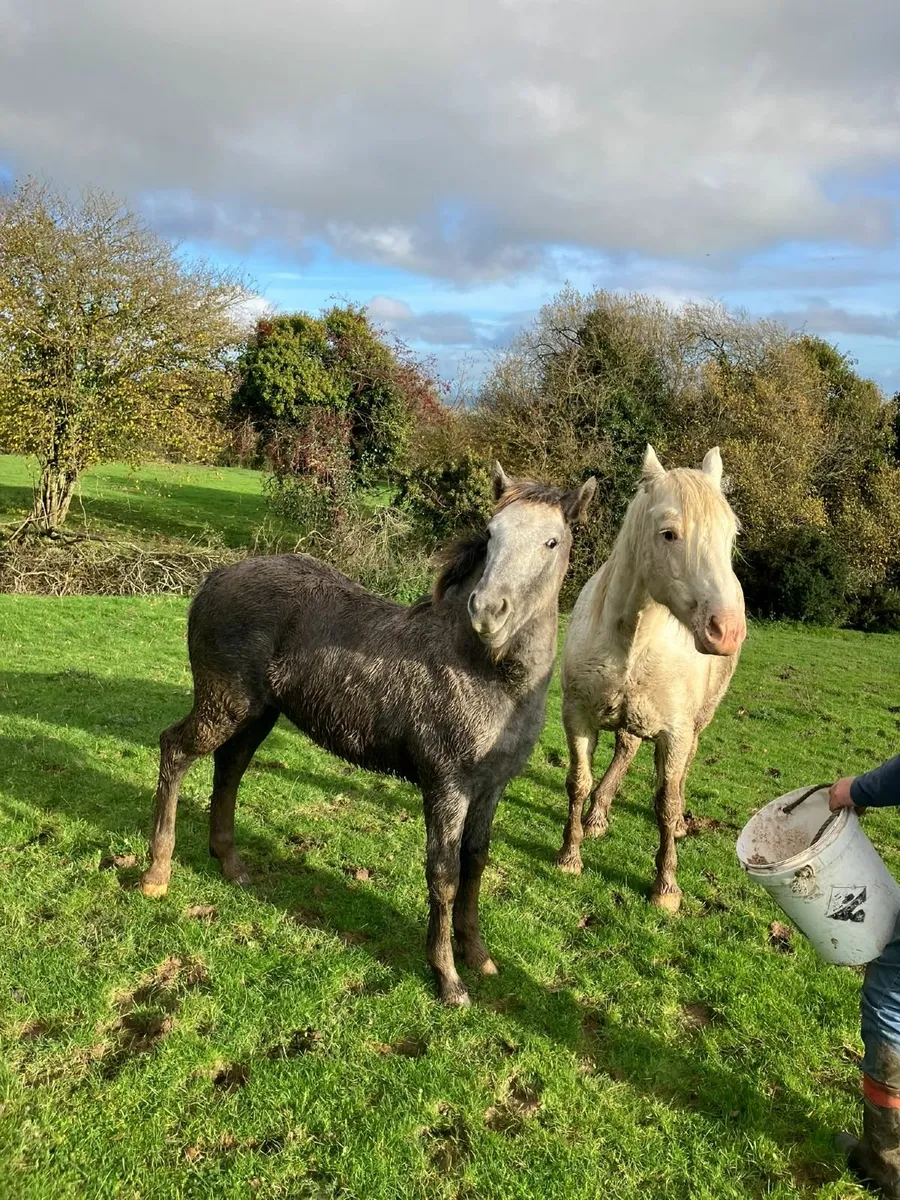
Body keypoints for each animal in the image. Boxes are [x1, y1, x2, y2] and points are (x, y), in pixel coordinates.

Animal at [141, 465, 596, 1006]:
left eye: (551, 541)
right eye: (491, 534)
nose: (488, 610)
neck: (488, 673)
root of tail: (215, 578)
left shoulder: (491, 787)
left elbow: (476, 862)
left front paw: (478, 955)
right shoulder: (446, 784)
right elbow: (444, 874)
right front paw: (448, 977)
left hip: (256, 715)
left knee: (229, 769)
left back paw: (231, 865)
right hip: (223, 706)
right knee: (175, 750)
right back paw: (156, 873)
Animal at [555, 445, 745, 911]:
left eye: (730, 534)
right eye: (668, 534)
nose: (727, 630)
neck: (634, 640)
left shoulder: (674, 733)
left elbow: (666, 801)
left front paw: (666, 888)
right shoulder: (577, 717)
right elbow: (578, 782)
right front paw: (570, 855)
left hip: (696, 721)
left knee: (682, 767)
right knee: (625, 749)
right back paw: (598, 816)